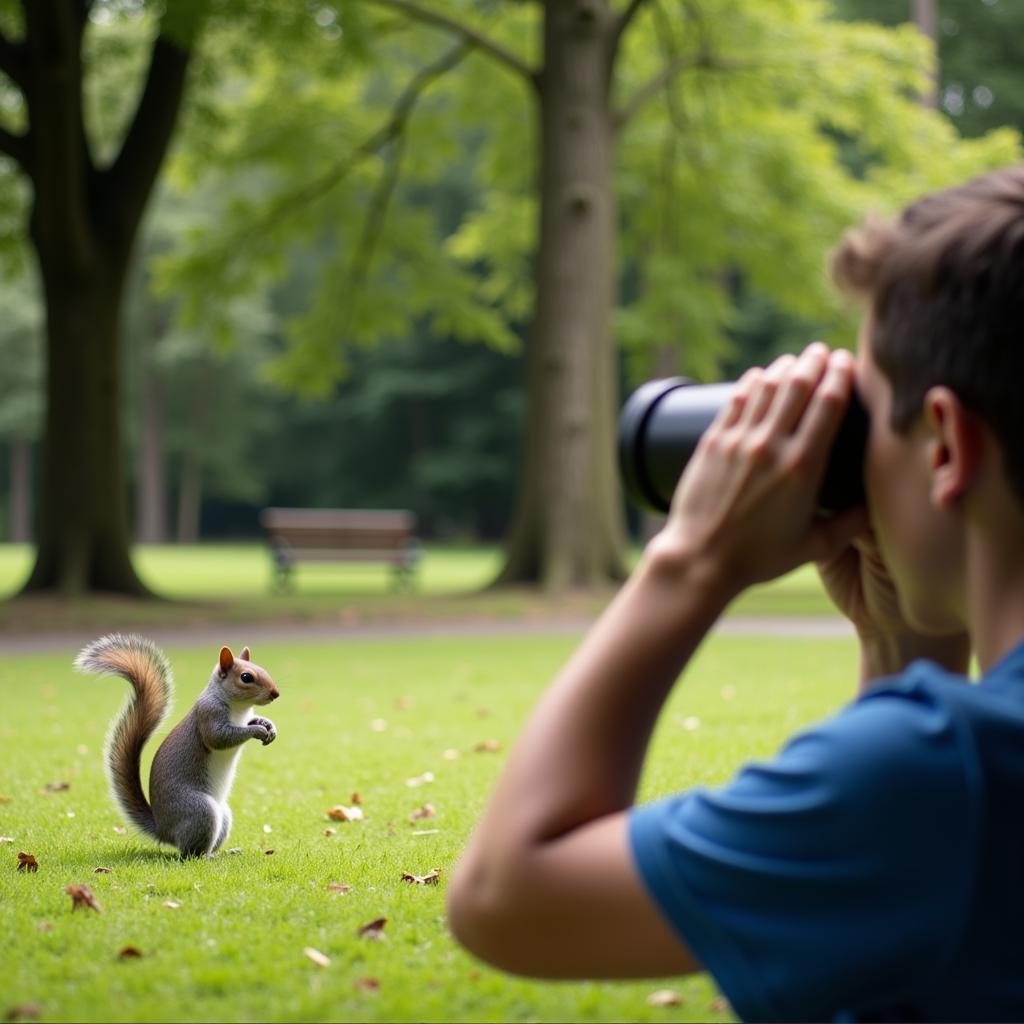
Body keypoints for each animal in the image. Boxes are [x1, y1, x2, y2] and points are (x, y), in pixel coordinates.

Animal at [74, 634, 280, 860]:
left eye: (261, 668)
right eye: (246, 677)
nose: (275, 693)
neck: (239, 709)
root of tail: (164, 830)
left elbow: (252, 721)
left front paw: (268, 725)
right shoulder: (209, 715)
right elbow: (220, 738)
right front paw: (257, 731)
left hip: (223, 815)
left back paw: (228, 852)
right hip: (200, 811)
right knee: (189, 853)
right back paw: (208, 857)